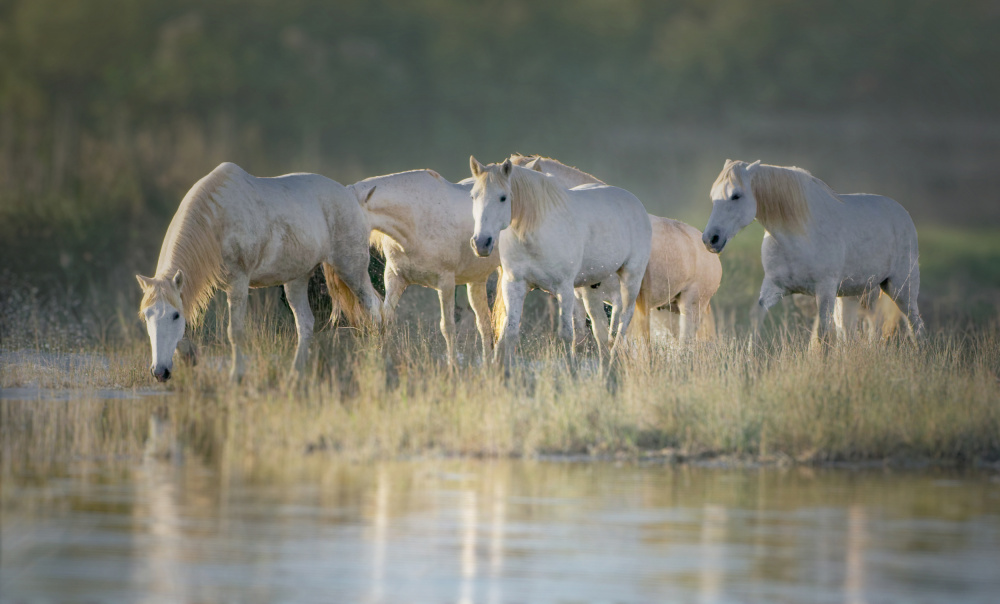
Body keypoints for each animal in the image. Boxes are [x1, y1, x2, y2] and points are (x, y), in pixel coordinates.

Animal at [137, 160, 378, 382]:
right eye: (147, 316)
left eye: (175, 315)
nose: (159, 372)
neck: (217, 222)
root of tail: (350, 195)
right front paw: (191, 358)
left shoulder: (238, 284)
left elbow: (235, 332)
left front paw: (236, 376)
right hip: (297, 279)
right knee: (305, 324)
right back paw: (295, 374)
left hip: (351, 268)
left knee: (373, 307)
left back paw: (378, 354)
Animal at [346, 171, 498, 368]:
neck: (414, 221)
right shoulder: (395, 277)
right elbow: (385, 319)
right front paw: (381, 360)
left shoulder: (446, 282)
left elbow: (447, 327)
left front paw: (452, 366)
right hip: (476, 280)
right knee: (484, 323)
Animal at [470, 155, 656, 368]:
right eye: (473, 196)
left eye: (503, 197)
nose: (481, 243)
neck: (535, 234)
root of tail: (635, 202)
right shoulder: (515, 285)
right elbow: (509, 333)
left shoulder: (564, 288)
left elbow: (567, 335)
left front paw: (571, 372)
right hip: (590, 290)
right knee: (602, 332)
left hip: (630, 280)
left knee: (622, 323)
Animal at [512, 155, 724, 344]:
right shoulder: (579, 300)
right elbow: (581, 339)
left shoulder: (619, 299)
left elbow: (613, 338)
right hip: (668, 311)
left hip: (691, 306)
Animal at [700, 158, 924, 344]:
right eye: (712, 197)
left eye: (736, 196)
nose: (710, 239)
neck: (796, 237)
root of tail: (902, 212)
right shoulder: (773, 288)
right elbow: (756, 317)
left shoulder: (824, 291)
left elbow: (823, 334)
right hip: (851, 295)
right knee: (849, 332)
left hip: (901, 289)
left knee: (915, 325)